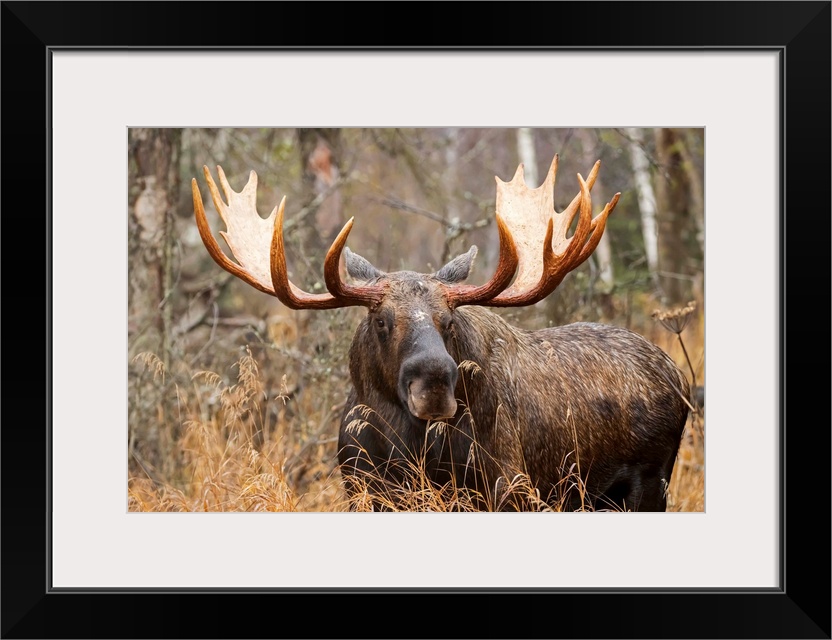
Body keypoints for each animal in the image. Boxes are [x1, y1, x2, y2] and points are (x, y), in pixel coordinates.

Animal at [192, 156, 692, 516]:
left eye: (449, 321)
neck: (407, 447)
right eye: (381, 320)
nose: (433, 383)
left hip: (650, 482)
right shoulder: (363, 489)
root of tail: (679, 377)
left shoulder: (507, 488)